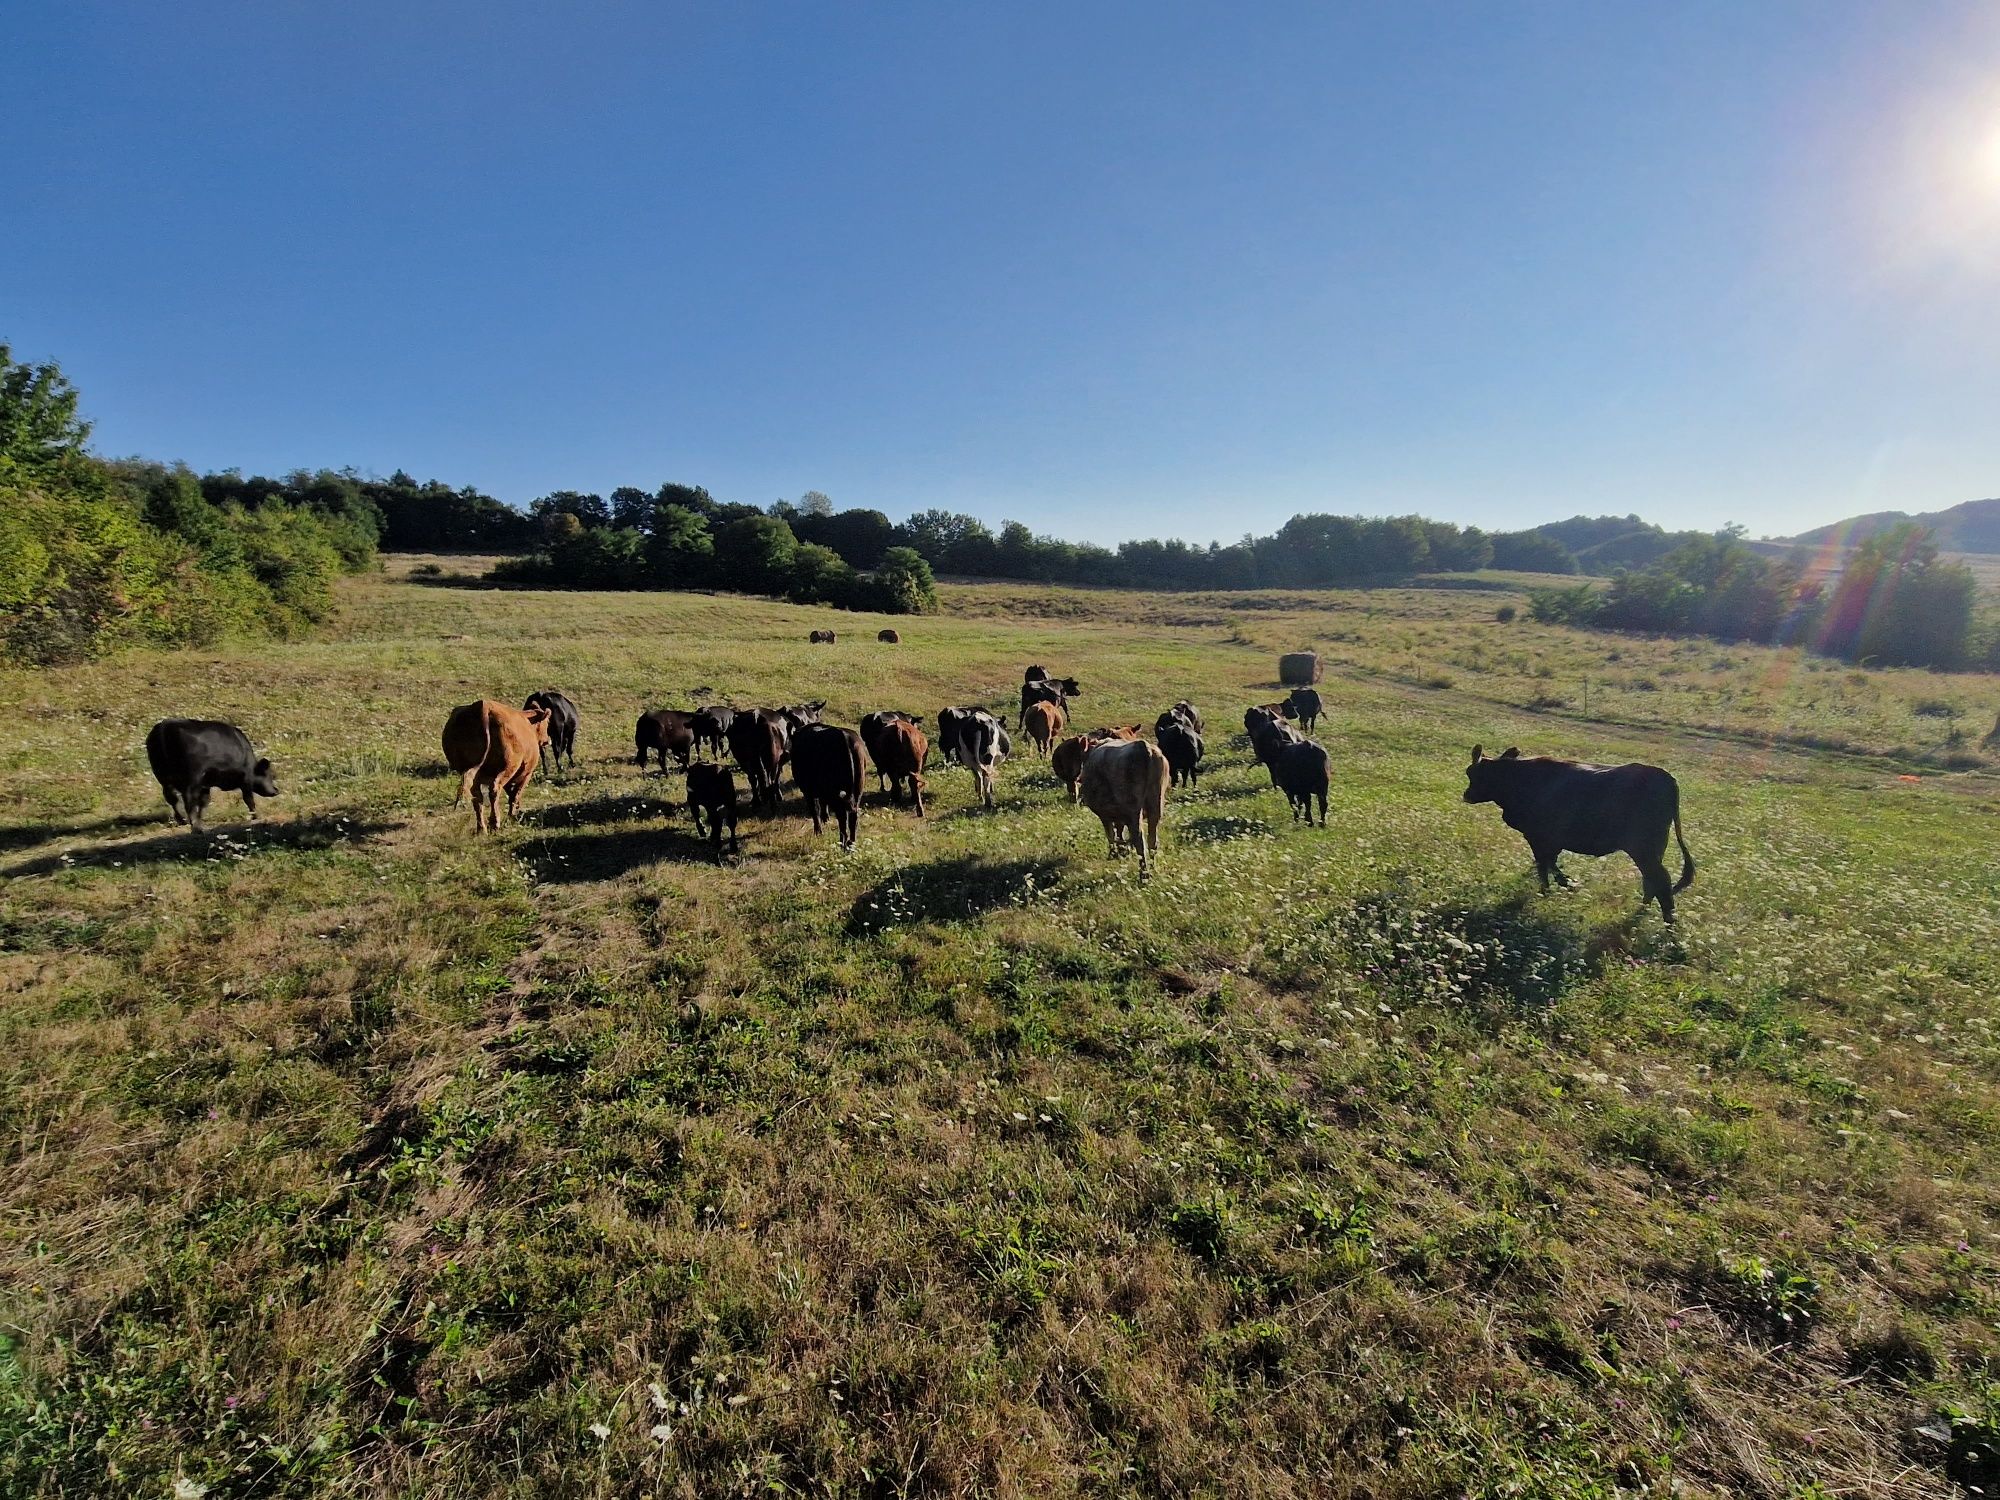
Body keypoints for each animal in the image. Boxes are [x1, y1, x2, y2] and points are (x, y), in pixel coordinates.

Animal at [147, 720, 282, 836]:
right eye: (268, 775)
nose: (276, 790)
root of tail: (164, 726)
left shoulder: (205, 784)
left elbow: (205, 801)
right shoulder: (245, 781)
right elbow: (249, 800)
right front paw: (256, 817)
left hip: (163, 777)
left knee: (172, 798)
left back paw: (183, 820)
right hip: (191, 779)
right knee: (189, 801)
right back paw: (196, 827)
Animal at [444, 704, 552, 836]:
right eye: (547, 722)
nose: (548, 740)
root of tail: (483, 705)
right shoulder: (527, 774)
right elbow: (515, 795)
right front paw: (512, 816)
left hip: (471, 773)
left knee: (477, 797)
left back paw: (482, 829)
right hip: (506, 769)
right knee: (495, 789)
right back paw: (495, 824)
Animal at [792, 724, 864, 852]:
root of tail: (844, 737)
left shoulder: (808, 791)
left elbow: (815, 810)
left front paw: (818, 832)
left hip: (837, 797)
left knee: (842, 819)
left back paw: (842, 844)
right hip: (857, 792)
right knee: (853, 817)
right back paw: (851, 843)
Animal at [1080, 744, 1168, 880]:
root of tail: (1143, 747)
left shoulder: (1104, 814)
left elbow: (1111, 834)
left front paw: (1113, 853)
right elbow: (1119, 830)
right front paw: (1122, 851)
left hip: (1134, 810)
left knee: (1139, 840)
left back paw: (1144, 874)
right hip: (1156, 805)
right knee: (1153, 840)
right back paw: (1153, 869)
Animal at [1464, 748, 1696, 924]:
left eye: (1476, 775)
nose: (1466, 795)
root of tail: (1666, 777)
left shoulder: (1538, 837)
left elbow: (1544, 865)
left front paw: (1555, 887)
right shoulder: (1550, 840)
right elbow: (1548, 863)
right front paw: (1562, 883)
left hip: (1643, 848)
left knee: (1661, 880)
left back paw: (1668, 921)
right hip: (1654, 849)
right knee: (1651, 880)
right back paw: (1644, 910)